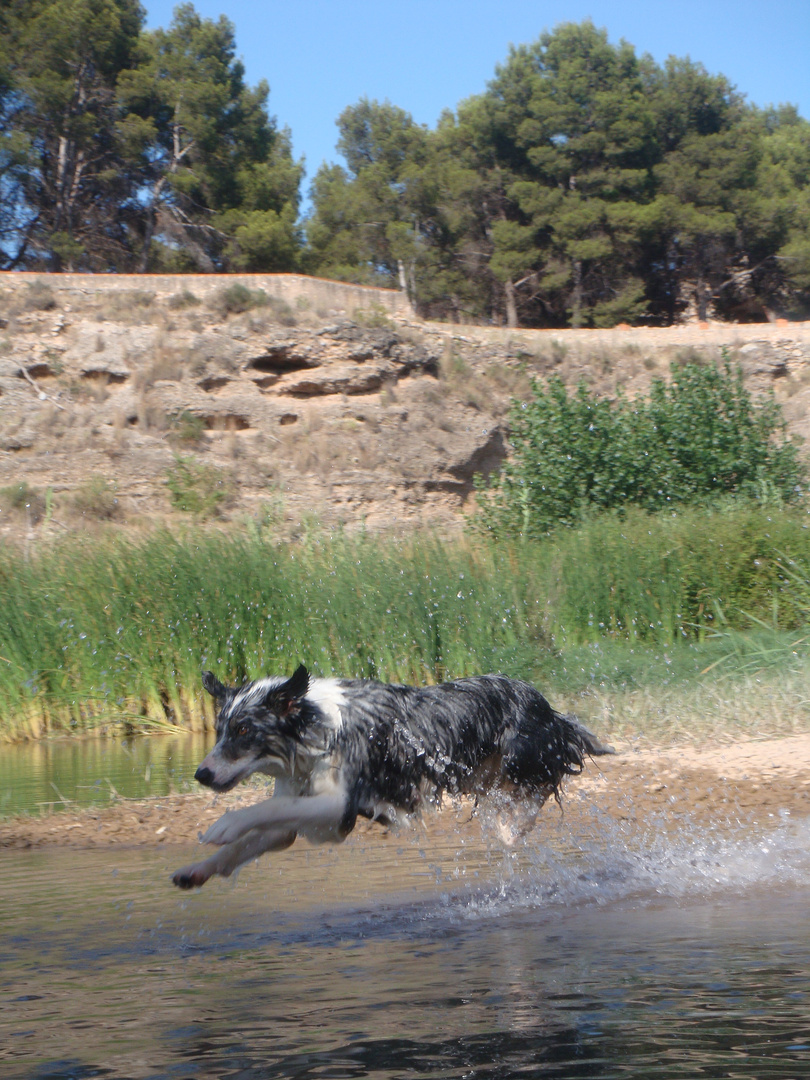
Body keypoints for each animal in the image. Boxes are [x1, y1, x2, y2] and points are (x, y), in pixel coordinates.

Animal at [172, 660, 613, 889]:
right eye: (220, 729)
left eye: (244, 731)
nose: (202, 774)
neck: (318, 729)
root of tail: (546, 704)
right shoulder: (303, 815)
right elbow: (253, 837)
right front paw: (197, 870)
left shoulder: (340, 807)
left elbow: (261, 811)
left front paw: (224, 825)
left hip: (521, 760)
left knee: (536, 793)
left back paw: (513, 828)